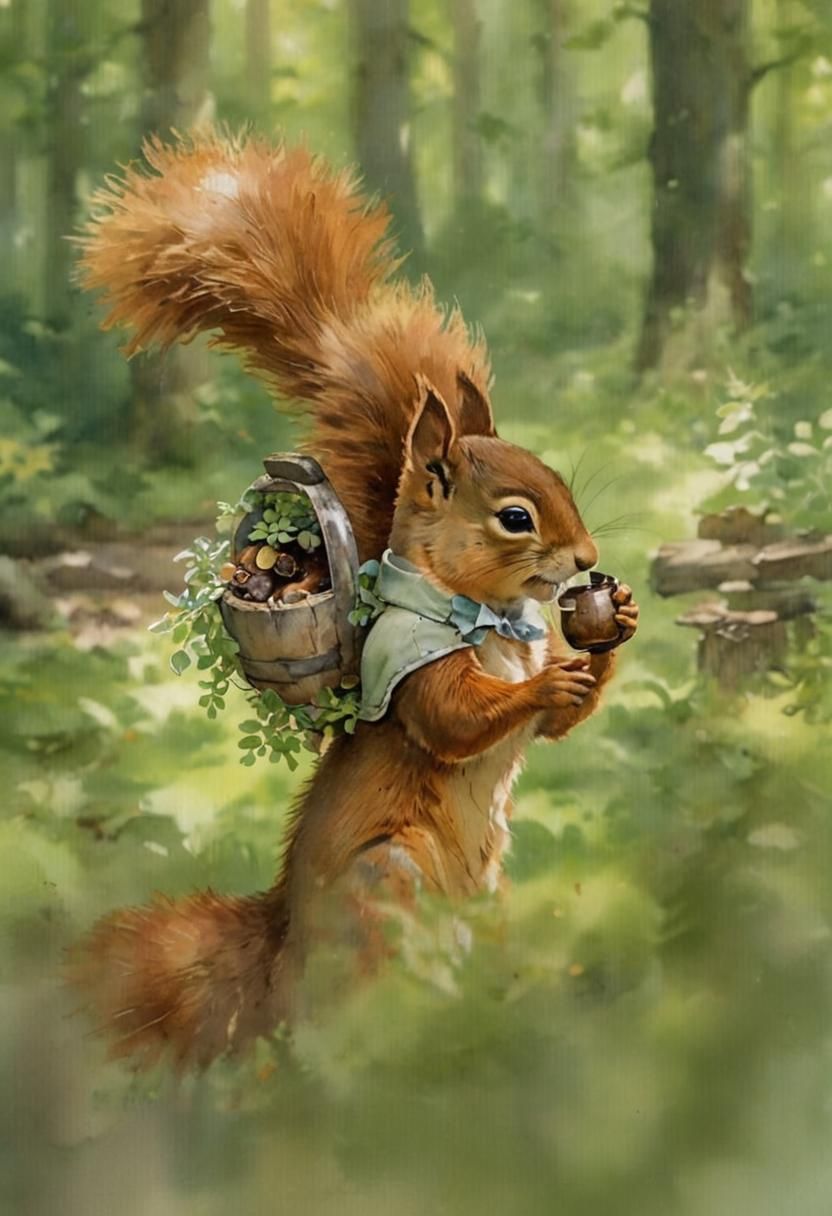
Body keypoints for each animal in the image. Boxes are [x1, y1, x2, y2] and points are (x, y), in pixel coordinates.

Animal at [70, 129, 639, 1070]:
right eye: (517, 516)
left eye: (559, 477)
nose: (590, 559)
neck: (484, 617)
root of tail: (282, 958)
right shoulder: (407, 664)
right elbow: (452, 721)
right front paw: (544, 684)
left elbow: (562, 722)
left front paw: (611, 630)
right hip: (388, 885)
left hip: (489, 899)